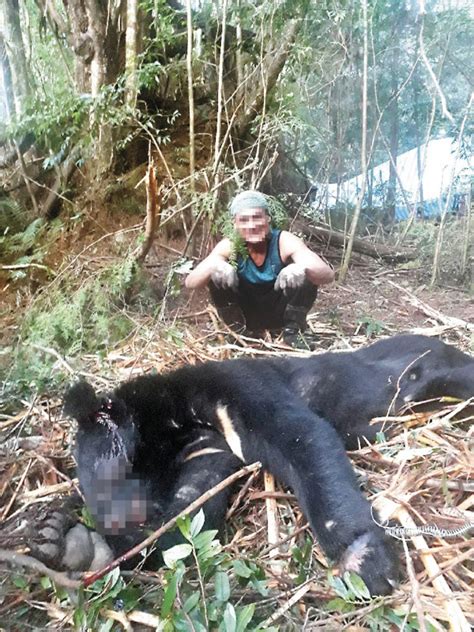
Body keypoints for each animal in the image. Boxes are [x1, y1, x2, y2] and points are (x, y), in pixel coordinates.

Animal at [31, 334, 472, 596]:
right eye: (88, 494)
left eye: (114, 471)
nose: (116, 520)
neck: (179, 423)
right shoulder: (208, 451)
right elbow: (193, 513)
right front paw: (67, 541)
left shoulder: (236, 383)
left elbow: (301, 436)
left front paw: (364, 559)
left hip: (443, 374)